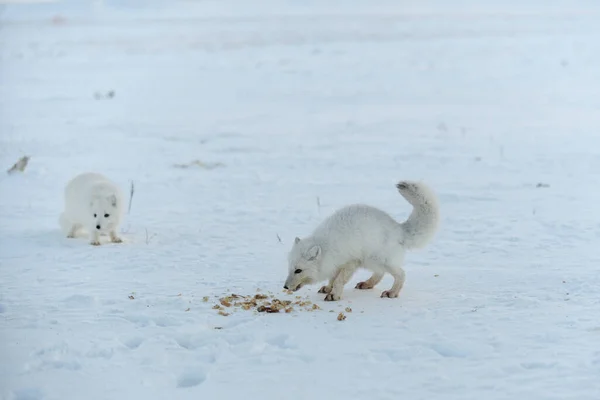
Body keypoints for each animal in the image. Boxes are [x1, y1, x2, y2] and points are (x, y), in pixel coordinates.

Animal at [284, 180, 438, 300]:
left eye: (298, 270)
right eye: (290, 268)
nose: (285, 287)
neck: (327, 246)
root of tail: (399, 228)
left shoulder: (351, 262)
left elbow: (339, 280)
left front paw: (334, 295)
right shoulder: (336, 264)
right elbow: (332, 278)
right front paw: (328, 288)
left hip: (377, 259)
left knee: (400, 274)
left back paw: (392, 292)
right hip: (371, 261)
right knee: (380, 273)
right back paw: (367, 284)